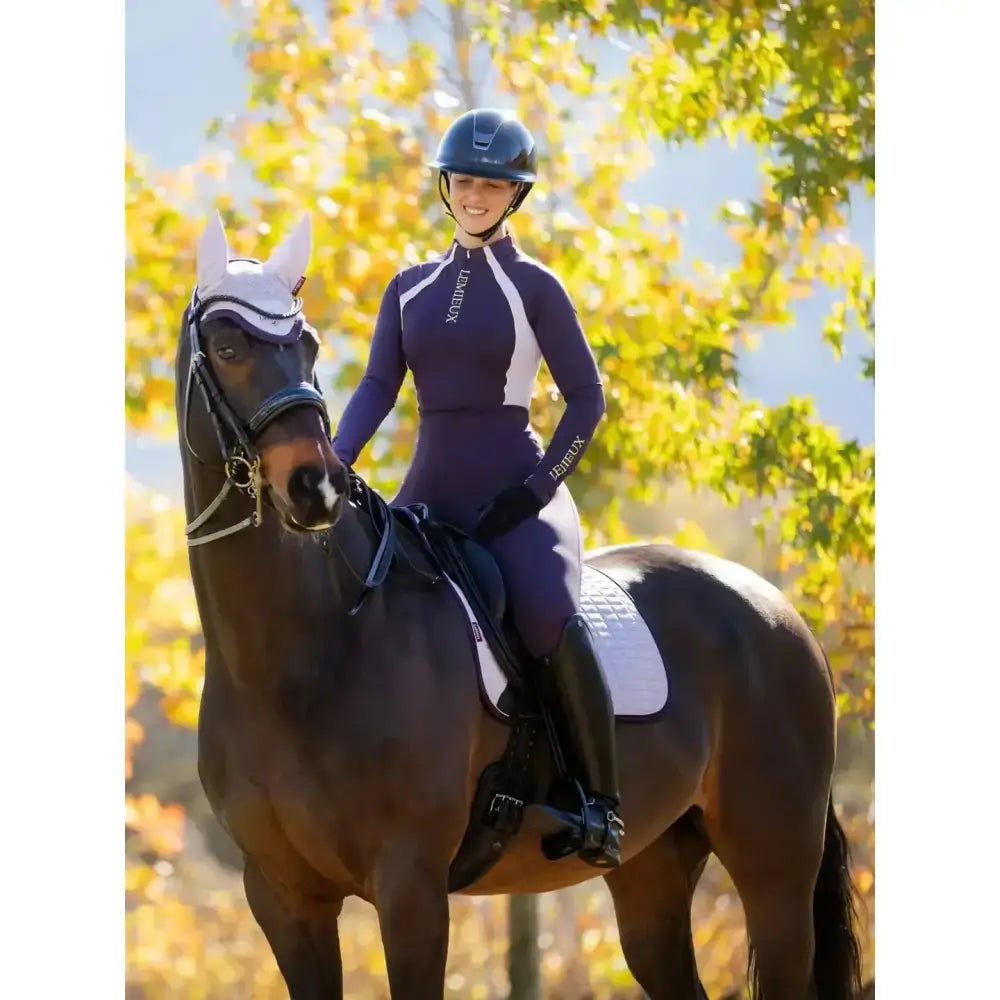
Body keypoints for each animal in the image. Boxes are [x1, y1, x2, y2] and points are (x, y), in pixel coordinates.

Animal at [175, 211, 863, 1000]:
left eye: (307, 345)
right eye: (228, 346)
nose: (315, 488)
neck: (301, 653)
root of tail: (776, 609)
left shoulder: (410, 887)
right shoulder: (284, 897)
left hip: (774, 872)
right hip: (653, 872)